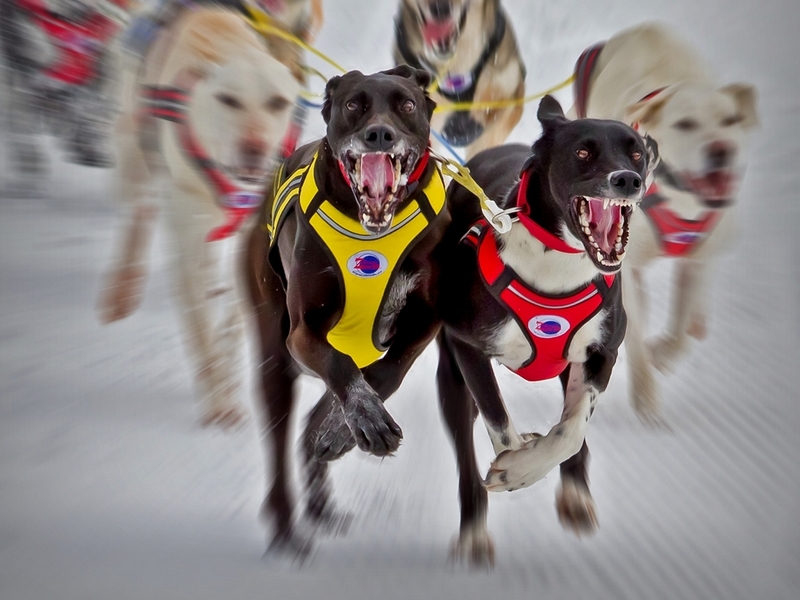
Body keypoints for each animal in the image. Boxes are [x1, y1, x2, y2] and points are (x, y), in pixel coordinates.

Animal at [96, 5, 304, 426]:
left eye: (277, 102)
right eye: (228, 99)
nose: (254, 149)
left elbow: (234, 322)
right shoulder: (187, 238)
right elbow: (202, 327)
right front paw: (219, 399)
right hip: (132, 158)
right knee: (137, 216)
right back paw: (122, 288)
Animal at [244, 64, 450, 552]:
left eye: (407, 104)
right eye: (354, 104)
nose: (379, 134)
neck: (372, 229)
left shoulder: (427, 317)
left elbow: (387, 374)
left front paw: (341, 434)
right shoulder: (303, 332)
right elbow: (342, 369)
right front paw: (364, 421)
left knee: (313, 421)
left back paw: (321, 488)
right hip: (273, 357)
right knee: (279, 439)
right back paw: (285, 524)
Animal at [434, 95, 652, 568]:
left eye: (637, 154)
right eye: (583, 153)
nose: (627, 180)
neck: (557, 261)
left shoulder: (601, 355)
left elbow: (570, 433)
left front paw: (527, 465)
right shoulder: (467, 347)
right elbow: (499, 421)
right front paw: (516, 462)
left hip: (569, 367)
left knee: (573, 433)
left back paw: (575, 496)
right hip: (451, 377)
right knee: (465, 456)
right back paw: (474, 533)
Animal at [572, 21, 760, 424]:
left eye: (731, 120)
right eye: (685, 124)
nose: (721, 149)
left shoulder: (698, 257)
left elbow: (681, 327)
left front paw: (665, 351)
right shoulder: (627, 271)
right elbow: (636, 335)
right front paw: (646, 398)